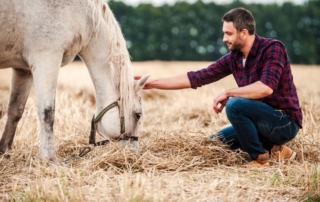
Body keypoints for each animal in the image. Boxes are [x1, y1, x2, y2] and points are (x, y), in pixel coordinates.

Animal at [0, 0, 149, 161]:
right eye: (138, 115)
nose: (133, 153)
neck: (83, 16)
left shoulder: (23, 69)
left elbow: (15, 110)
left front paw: (4, 151)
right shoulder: (47, 59)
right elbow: (47, 112)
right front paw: (49, 158)